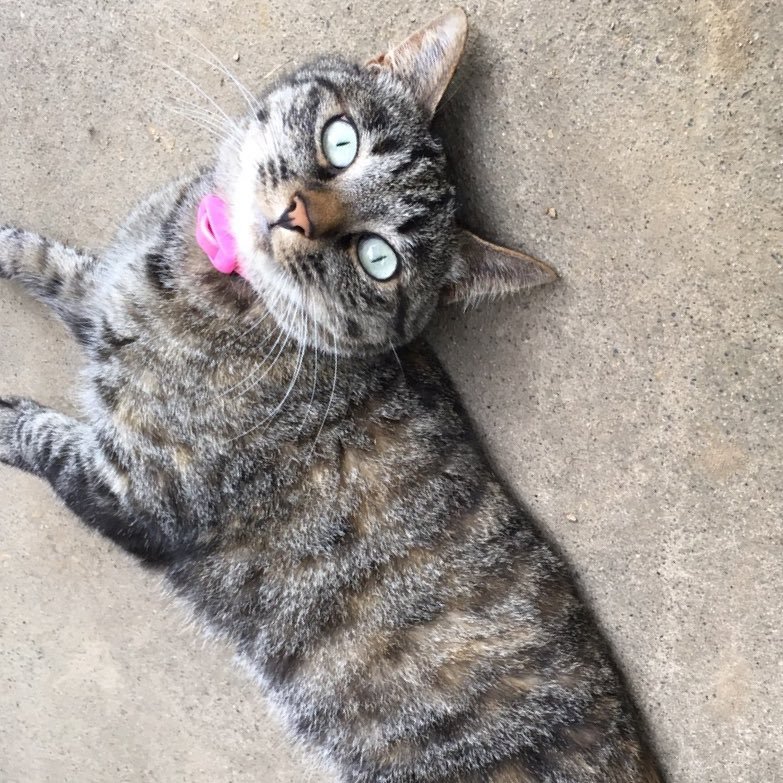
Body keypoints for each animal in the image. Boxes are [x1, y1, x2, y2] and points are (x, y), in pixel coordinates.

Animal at [0, 7, 664, 783]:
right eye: (340, 142)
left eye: (378, 259)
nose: (295, 214)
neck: (205, 281)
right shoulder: (100, 290)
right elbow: (49, 259)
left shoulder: (136, 492)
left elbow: (44, 438)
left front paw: (9, 421)